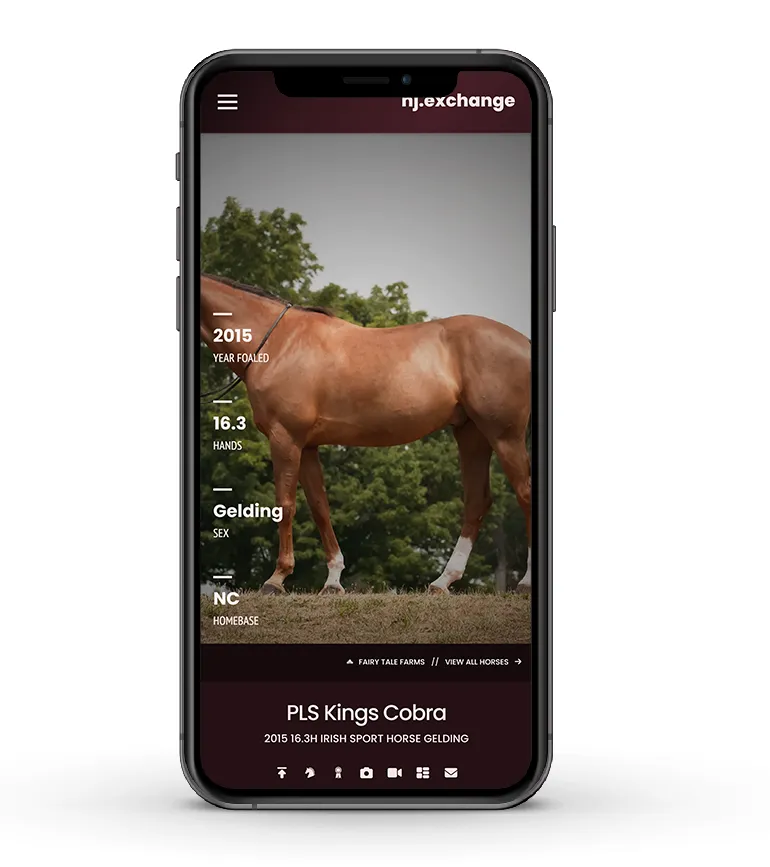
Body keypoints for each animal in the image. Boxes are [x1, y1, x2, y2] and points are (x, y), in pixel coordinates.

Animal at [200, 274, 532, 595]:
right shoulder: (306, 445)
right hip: (471, 433)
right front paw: (333, 581)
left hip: (505, 436)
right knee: (477, 501)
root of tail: (524, 343)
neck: (278, 344)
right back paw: (442, 583)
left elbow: (286, 503)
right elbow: (320, 507)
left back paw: (524, 584)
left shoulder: (285, 438)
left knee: (525, 493)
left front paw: (276, 579)